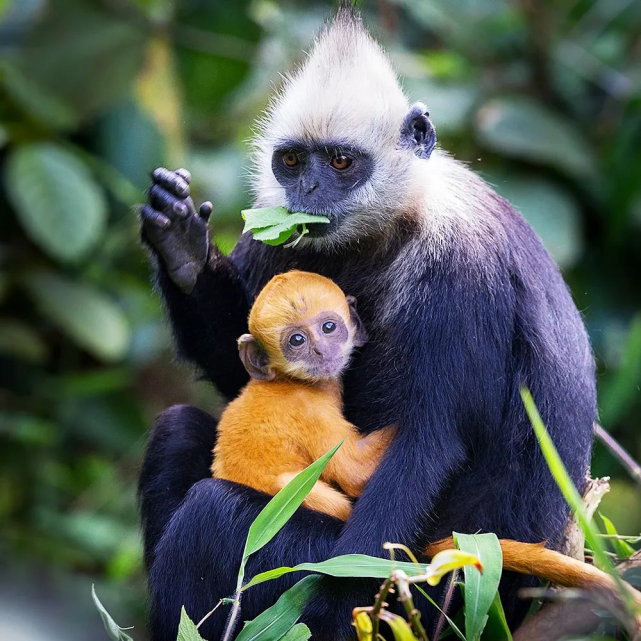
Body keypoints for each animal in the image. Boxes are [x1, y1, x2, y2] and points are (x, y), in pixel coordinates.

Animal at [210, 268, 392, 516]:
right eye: (297, 340)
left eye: (328, 327)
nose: (320, 350)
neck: (288, 381)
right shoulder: (309, 409)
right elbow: (356, 471)